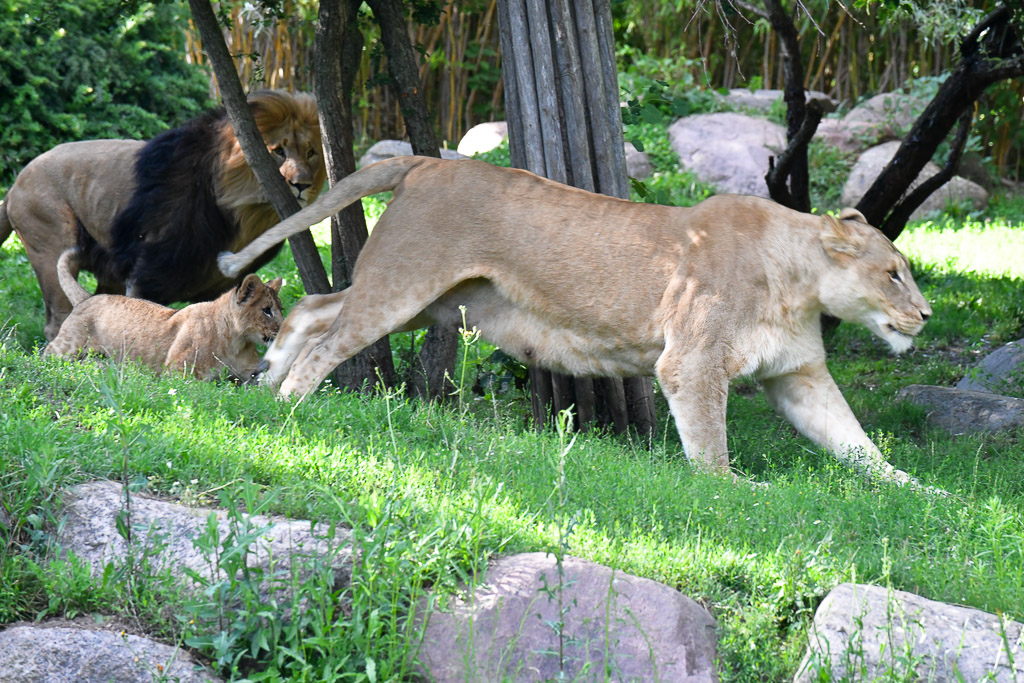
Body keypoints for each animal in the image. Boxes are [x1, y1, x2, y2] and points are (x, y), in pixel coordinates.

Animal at [0, 90, 324, 341]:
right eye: (278, 151)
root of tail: (15, 183)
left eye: (310, 153)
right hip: (50, 240)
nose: (302, 185)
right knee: (59, 318)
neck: (245, 218)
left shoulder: (220, 284)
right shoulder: (148, 273)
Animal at [44, 248, 284, 381]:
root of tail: (87, 298)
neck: (236, 341)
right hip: (67, 346)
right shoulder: (178, 373)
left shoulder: (247, 371)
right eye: (267, 310)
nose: (282, 329)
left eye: (280, 308)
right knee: (46, 354)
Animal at [219, 156, 932, 481]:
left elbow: (854, 441)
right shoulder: (692, 361)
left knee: (312, 309)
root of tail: (428, 161)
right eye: (893, 273)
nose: (925, 314)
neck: (798, 282)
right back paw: (287, 405)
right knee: (329, 343)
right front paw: (734, 489)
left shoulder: (800, 374)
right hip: (403, 289)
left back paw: (266, 379)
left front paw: (920, 492)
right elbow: (710, 444)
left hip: (424, 304)